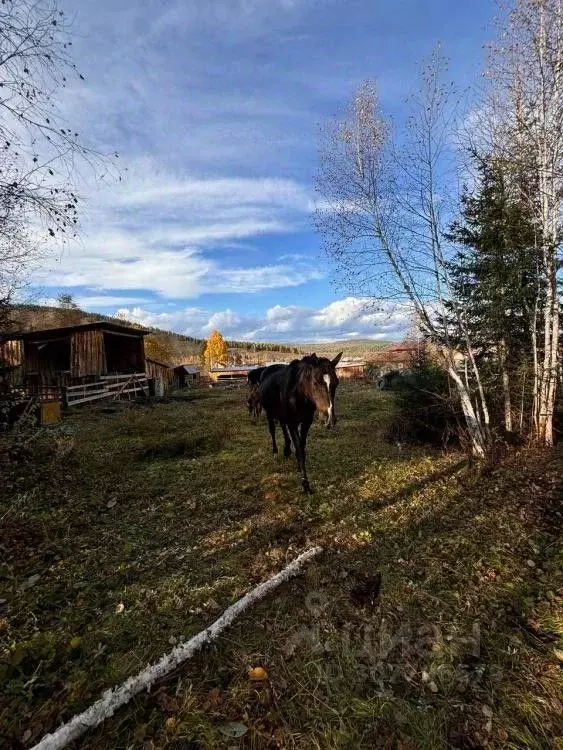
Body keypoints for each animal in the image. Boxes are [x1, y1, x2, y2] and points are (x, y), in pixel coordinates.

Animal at [260, 356, 344, 496]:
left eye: (336, 383)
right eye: (315, 382)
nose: (330, 419)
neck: (298, 393)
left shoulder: (306, 422)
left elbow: (302, 447)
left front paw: (299, 467)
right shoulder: (293, 423)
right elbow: (299, 449)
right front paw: (305, 484)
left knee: (283, 428)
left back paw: (287, 450)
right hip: (269, 413)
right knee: (272, 430)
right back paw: (275, 452)